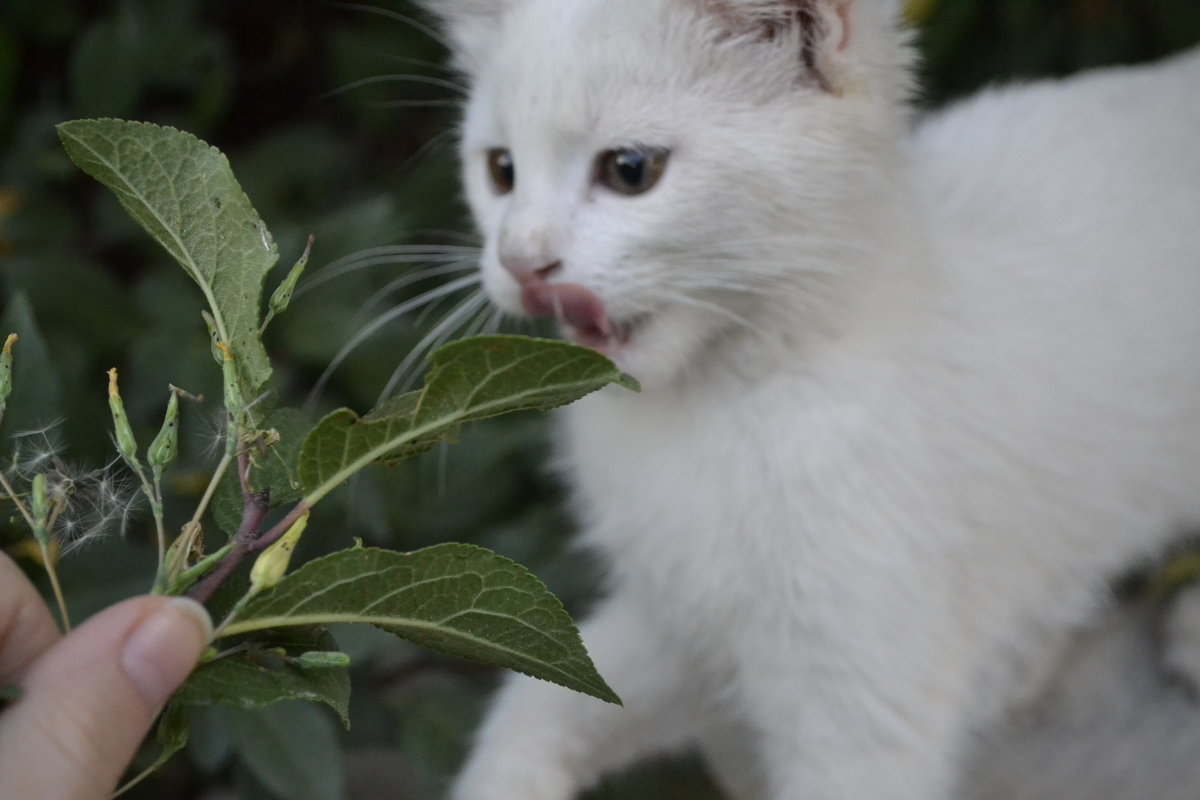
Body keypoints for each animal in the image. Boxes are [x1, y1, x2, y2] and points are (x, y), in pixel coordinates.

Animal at [420, 1, 1200, 800]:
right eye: (500, 170)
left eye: (630, 170)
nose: (521, 261)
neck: (724, 402)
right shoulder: (682, 611)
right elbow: (543, 696)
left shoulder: (859, 702)